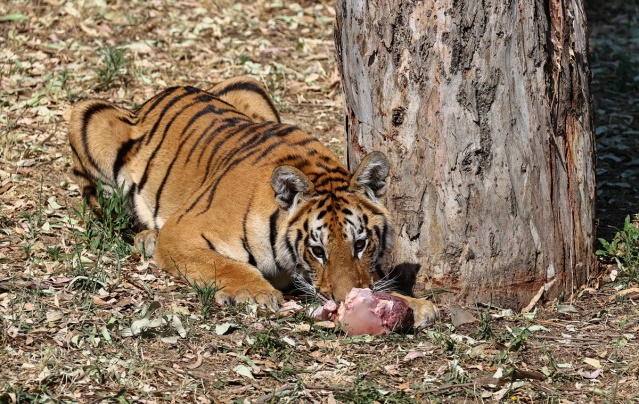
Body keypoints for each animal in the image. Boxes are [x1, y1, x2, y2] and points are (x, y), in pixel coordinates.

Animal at [70, 76, 440, 326]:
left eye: (360, 244)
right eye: (317, 250)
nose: (345, 300)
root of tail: (161, 94)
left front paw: (413, 304)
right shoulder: (182, 231)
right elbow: (224, 264)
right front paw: (257, 292)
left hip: (250, 86)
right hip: (86, 115)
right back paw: (146, 237)